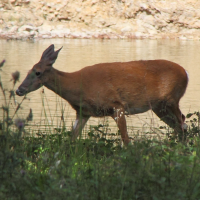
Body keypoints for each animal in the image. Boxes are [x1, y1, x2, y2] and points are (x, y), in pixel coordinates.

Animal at [16, 44, 189, 145]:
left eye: (37, 72)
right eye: (28, 71)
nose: (19, 90)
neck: (78, 86)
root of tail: (186, 73)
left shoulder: (116, 105)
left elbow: (126, 139)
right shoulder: (83, 112)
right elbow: (72, 138)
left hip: (172, 99)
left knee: (182, 123)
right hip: (159, 107)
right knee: (179, 125)